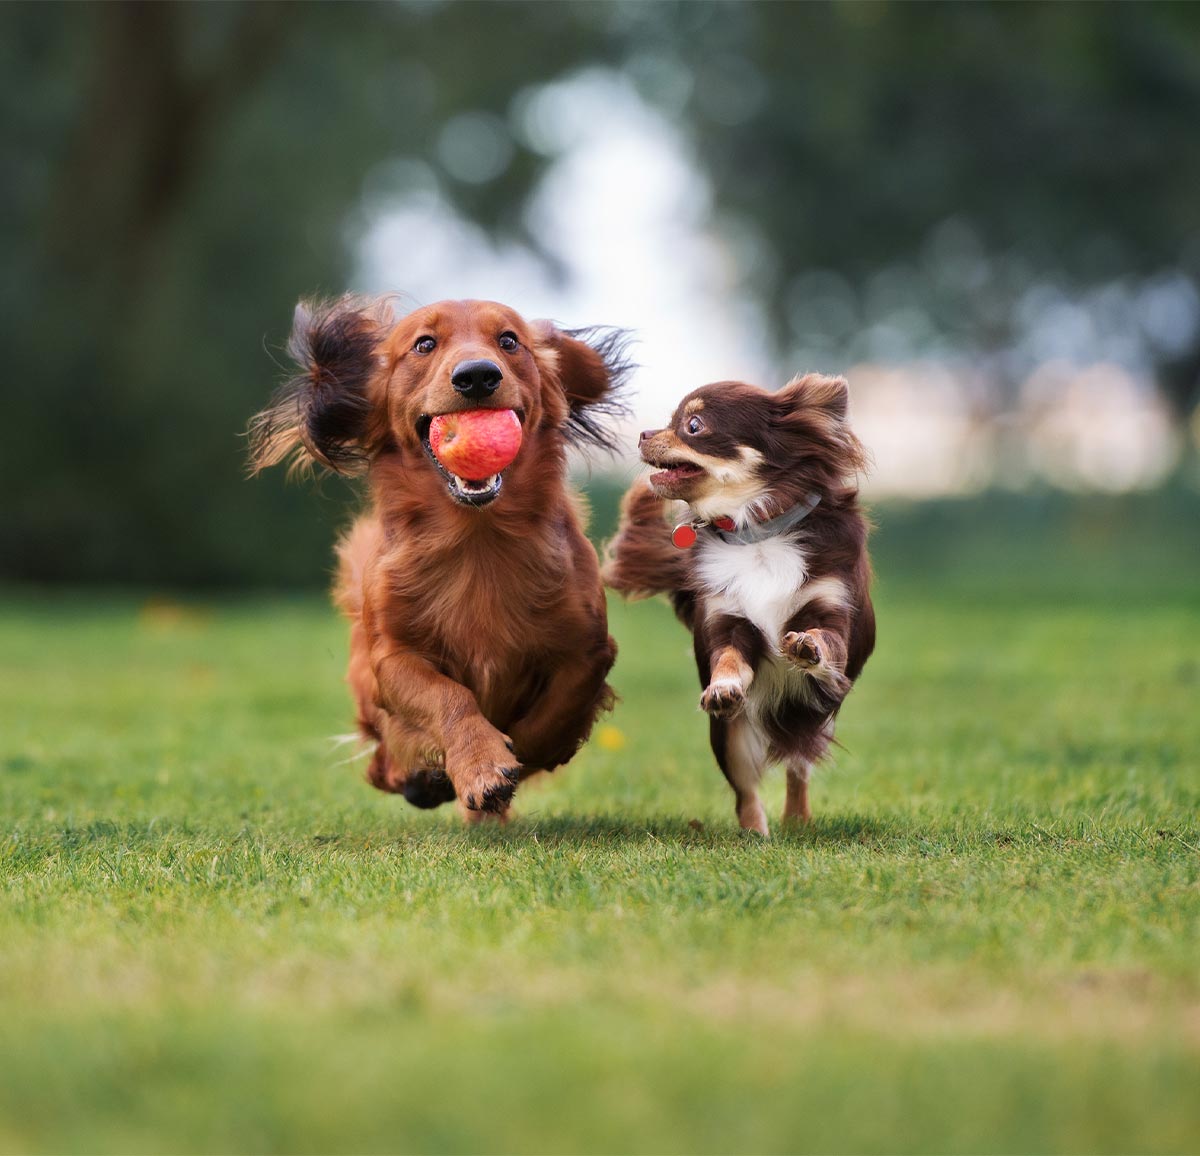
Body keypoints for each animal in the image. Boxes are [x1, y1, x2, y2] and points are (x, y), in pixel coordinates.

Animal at [249, 298, 633, 821]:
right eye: (424, 344)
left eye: (509, 340)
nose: (477, 376)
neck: (477, 539)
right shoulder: (393, 658)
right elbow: (448, 697)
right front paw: (479, 764)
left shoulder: (588, 648)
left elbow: (552, 715)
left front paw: (508, 760)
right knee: (382, 762)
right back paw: (421, 778)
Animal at [609, 374, 873, 835]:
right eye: (671, 421)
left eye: (693, 425)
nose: (643, 434)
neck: (757, 534)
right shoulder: (728, 621)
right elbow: (730, 659)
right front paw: (724, 687)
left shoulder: (832, 611)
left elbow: (825, 639)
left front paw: (807, 645)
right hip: (730, 738)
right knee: (746, 790)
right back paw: (755, 834)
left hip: (815, 718)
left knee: (797, 767)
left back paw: (797, 821)